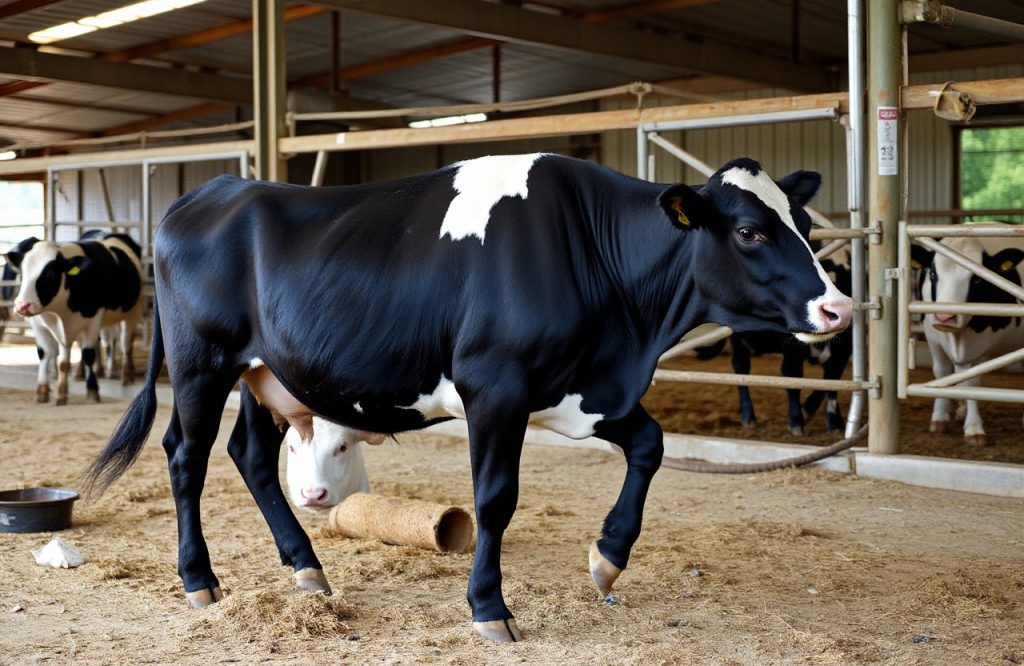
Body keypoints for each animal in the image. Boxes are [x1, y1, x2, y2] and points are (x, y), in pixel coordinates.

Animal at [7, 232, 144, 404]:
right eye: (22, 272)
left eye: (50, 273)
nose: (22, 305)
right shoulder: (39, 324)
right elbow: (50, 357)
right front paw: (48, 393)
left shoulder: (94, 320)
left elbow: (88, 354)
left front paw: (92, 391)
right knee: (105, 342)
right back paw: (83, 373)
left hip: (133, 312)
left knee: (125, 344)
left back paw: (126, 376)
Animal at [85, 155, 851, 642]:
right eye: (749, 231)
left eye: (807, 226)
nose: (838, 307)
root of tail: (210, 190)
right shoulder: (496, 387)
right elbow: (495, 498)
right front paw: (489, 609)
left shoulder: (585, 391)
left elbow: (651, 445)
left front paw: (608, 557)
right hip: (201, 363)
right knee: (186, 457)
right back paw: (199, 579)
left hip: (269, 375)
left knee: (249, 455)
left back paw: (307, 568)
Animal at [915, 227, 1024, 445]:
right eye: (933, 273)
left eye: (977, 278)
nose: (945, 317)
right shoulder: (932, 336)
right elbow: (942, 373)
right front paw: (939, 418)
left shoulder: (981, 345)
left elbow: (972, 383)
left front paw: (974, 428)